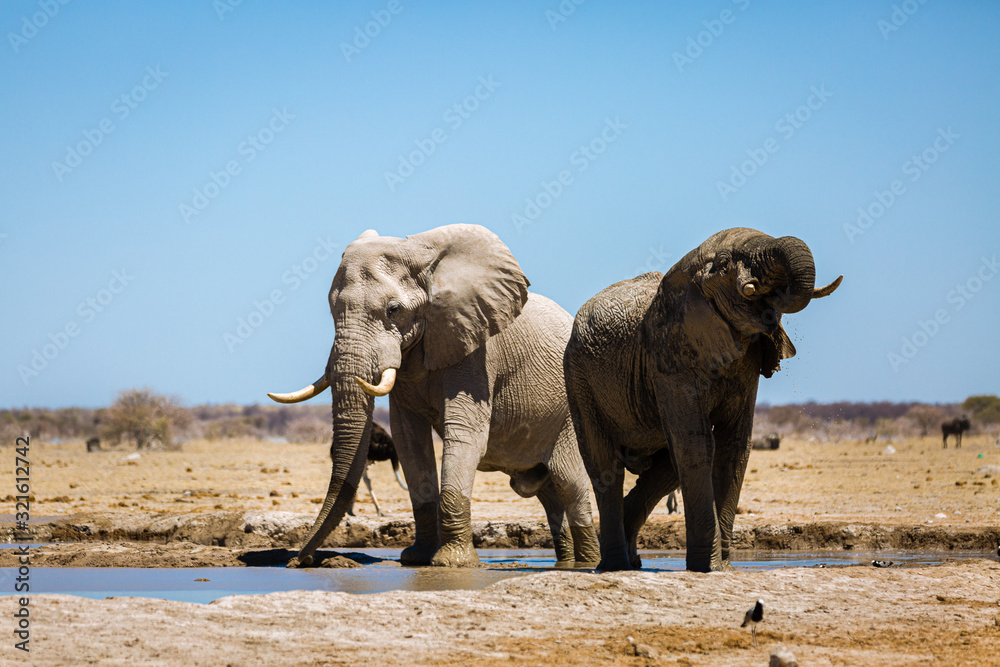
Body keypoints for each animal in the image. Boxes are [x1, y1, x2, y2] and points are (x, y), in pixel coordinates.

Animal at [268, 224, 600, 568]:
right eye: (333, 309)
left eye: (393, 310)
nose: (299, 561)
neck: (423, 255)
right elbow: (409, 441)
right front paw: (416, 558)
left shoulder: (474, 350)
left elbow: (465, 437)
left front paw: (451, 564)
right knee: (546, 491)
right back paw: (567, 563)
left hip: (570, 415)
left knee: (569, 483)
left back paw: (587, 564)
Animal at [564, 227, 841, 572]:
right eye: (723, 263)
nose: (764, 288)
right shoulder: (668, 360)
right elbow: (695, 445)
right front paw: (707, 567)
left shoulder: (746, 366)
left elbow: (733, 448)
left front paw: (724, 568)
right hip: (579, 378)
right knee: (605, 464)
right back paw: (614, 565)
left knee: (666, 468)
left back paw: (632, 560)